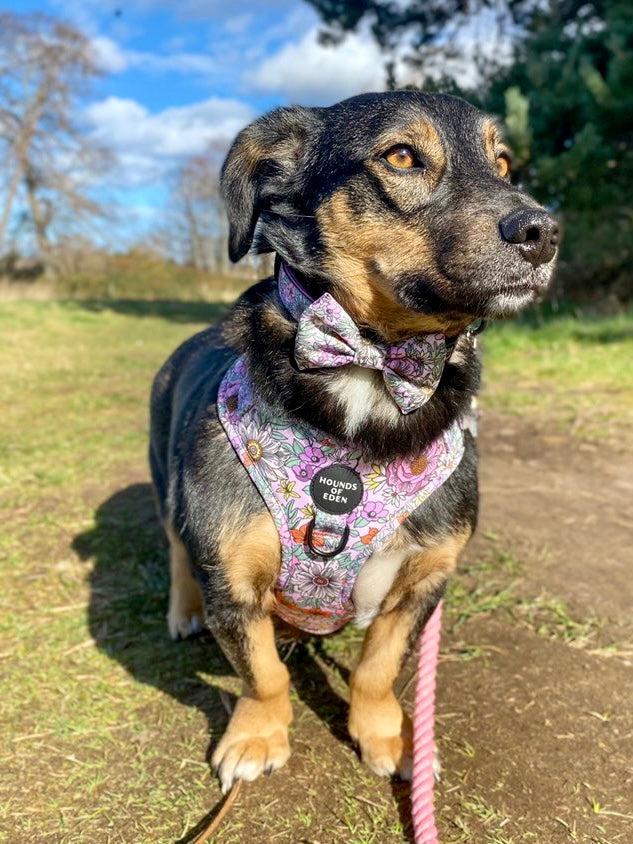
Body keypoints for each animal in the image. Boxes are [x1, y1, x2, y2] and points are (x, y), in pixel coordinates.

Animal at [149, 90, 556, 792]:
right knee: (177, 548)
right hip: (165, 481)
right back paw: (183, 612)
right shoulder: (232, 578)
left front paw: (388, 736)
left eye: (503, 163)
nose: (545, 232)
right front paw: (256, 736)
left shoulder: (425, 581)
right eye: (401, 156)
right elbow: (263, 672)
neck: (373, 372)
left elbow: (377, 667)